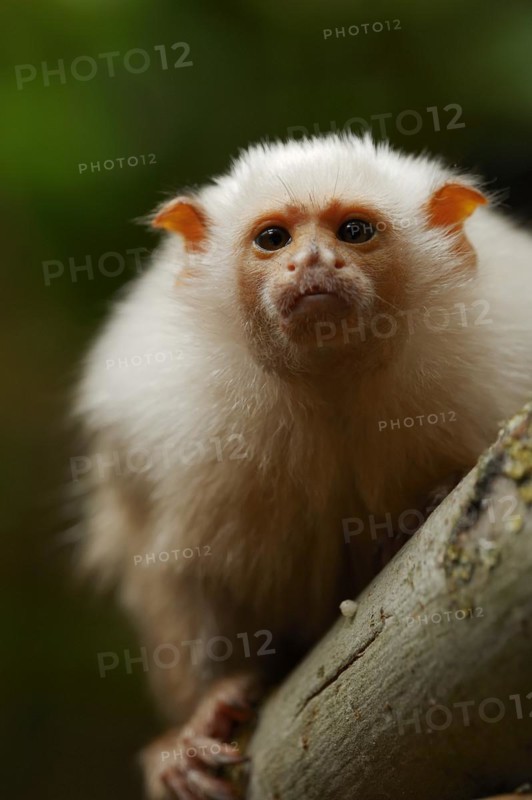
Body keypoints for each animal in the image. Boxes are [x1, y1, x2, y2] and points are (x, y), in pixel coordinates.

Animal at [74, 134, 532, 799]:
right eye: (273, 239)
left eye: (354, 231)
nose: (315, 263)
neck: (328, 380)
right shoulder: (159, 429)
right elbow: (177, 572)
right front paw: (198, 720)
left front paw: (424, 505)